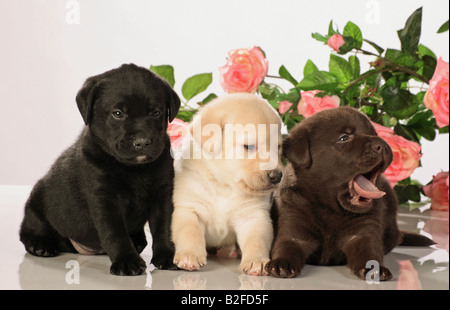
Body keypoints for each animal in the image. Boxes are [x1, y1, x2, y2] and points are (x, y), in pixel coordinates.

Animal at [19, 63, 181, 276]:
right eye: (118, 113)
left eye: (155, 112)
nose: (142, 142)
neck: (133, 169)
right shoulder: (104, 199)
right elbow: (115, 232)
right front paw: (127, 261)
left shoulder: (162, 194)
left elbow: (164, 226)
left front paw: (167, 255)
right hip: (37, 201)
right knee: (29, 229)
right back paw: (40, 245)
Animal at [171, 92, 282, 276]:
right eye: (249, 146)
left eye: (278, 147)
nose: (277, 176)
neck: (223, 185)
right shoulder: (189, 208)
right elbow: (190, 232)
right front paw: (190, 256)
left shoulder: (253, 216)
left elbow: (256, 240)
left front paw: (256, 261)